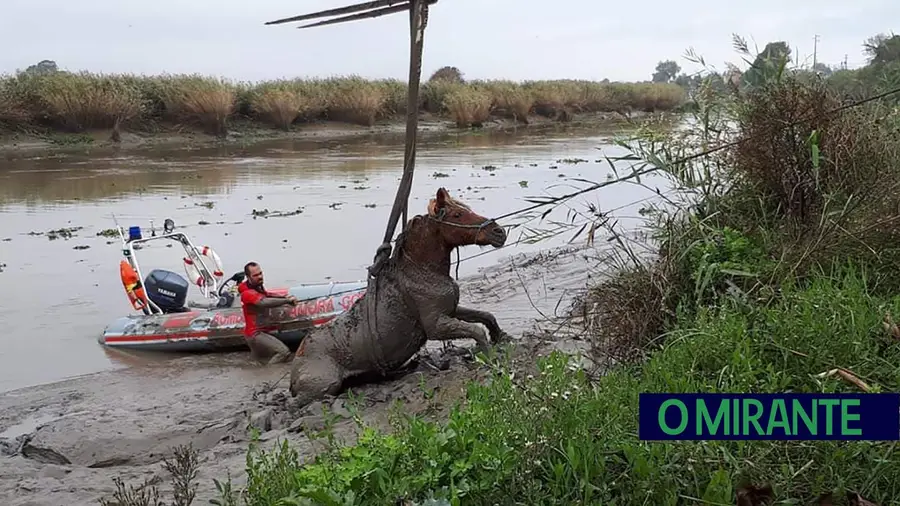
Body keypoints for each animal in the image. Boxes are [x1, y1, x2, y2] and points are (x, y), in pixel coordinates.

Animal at [290, 188, 510, 406]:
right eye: (457, 214)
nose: (499, 232)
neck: (422, 271)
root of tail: (297, 362)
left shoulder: (451, 310)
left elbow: (485, 316)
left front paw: (501, 338)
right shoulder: (435, 326)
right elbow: (475, 330)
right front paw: (490, 357)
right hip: (325, 385)